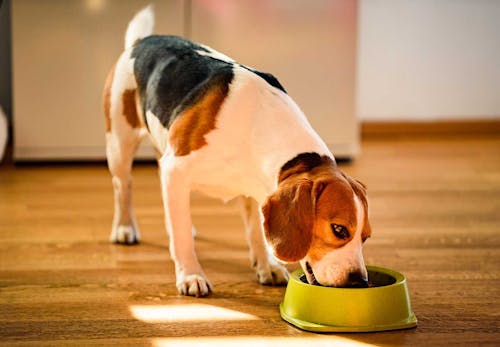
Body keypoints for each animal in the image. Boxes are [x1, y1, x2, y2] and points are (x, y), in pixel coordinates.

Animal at [102, 6, 372, 300]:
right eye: (339, 230)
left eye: (366, 237)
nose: (360, 281)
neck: (258, 123)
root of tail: (142, 41)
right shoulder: (177, 168)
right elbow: (181, 237)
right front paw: (191, 275)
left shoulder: (256, 189)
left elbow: (256, 230)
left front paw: (267, 266)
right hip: (120, 144)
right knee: (123, 187)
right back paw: (125, 228)